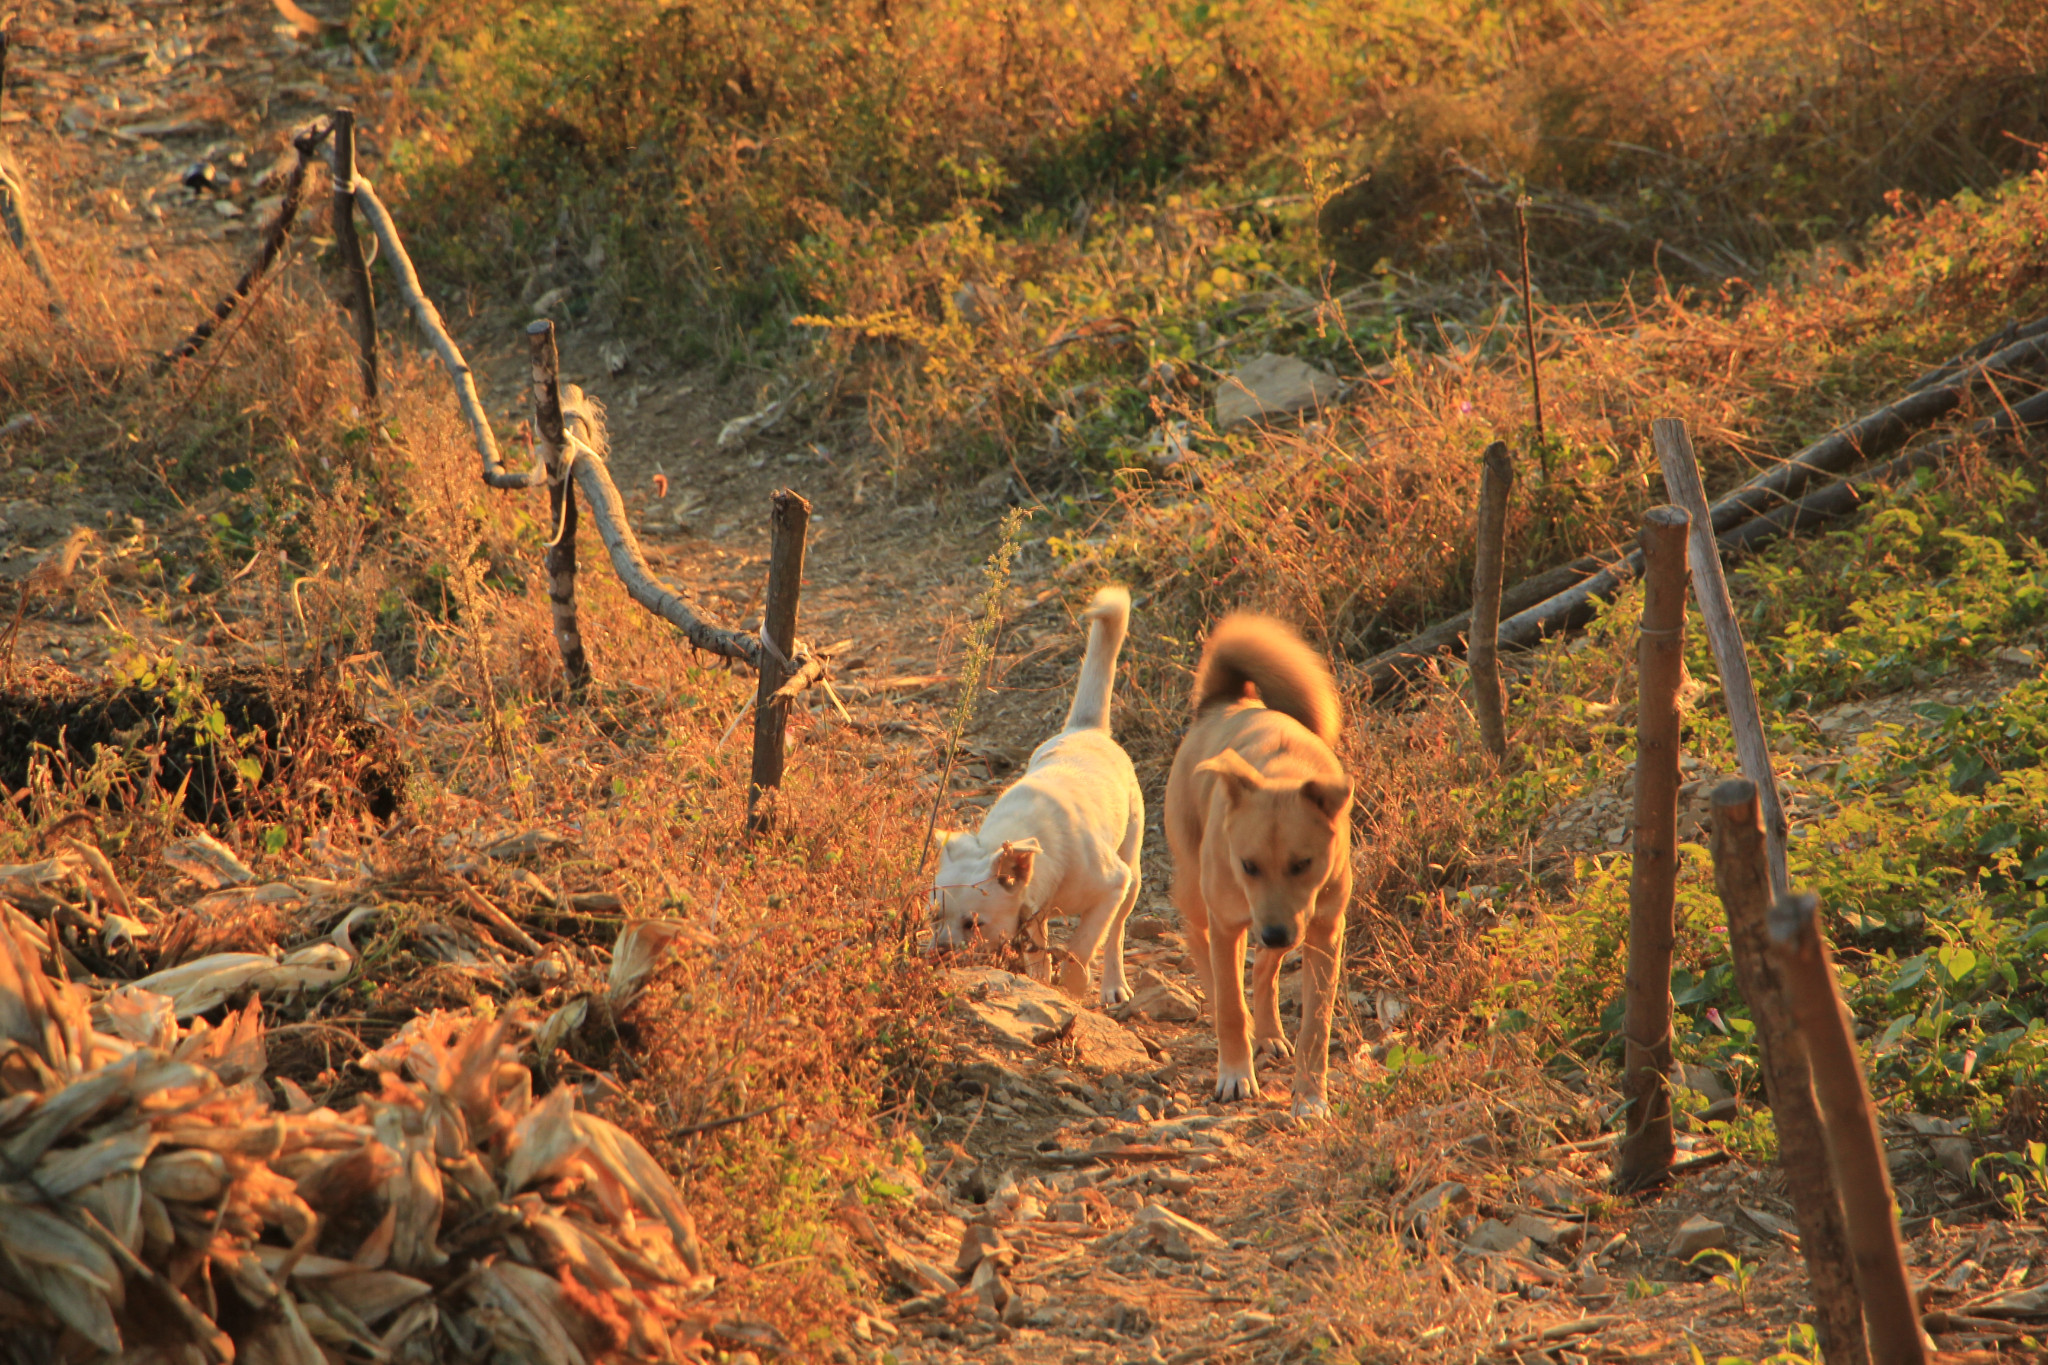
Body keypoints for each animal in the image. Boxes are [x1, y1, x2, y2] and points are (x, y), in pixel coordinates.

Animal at [933, 581, 1146, 1010]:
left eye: (973, 924)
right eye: (933, 917)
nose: (940, 953)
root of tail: (1086, 728)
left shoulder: (1112, 886)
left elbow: (1082, 948)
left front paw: (1074, 988)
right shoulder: (1031, 912)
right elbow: (1038, 957)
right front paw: (1043, 986)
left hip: (1132, 873)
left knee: (1116, 933)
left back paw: (1113, 985)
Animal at [1163, 613, 1351, 1113]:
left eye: (1302, 864)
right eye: (1248, 865)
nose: (1275, 932)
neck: (1283, 773)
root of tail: (1227, 700)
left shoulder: (1322, 930)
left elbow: (1316, 1025)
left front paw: (1310, 1097)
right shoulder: (1231, 924)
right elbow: (1230, 1004)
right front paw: (1234, 1075)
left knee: (1265, 969)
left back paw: (1267, 1032)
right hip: (1201, 895)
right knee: (1203, 947)